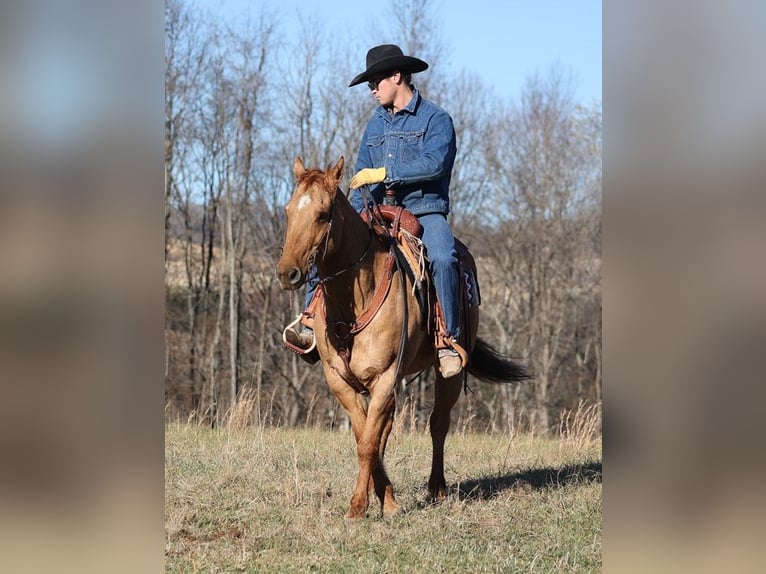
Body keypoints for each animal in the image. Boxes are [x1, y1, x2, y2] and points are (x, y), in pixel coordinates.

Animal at [278, 155, 536, 520]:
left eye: (323, 214)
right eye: (288, 211)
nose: (287, 273)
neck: (355, 301)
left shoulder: (385, 377)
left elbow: (369, 443)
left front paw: (358, 506)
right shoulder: (341, 380)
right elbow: (367, 438)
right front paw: (386, 500)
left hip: (449, 376)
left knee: (438, 425)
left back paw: (438, 488)